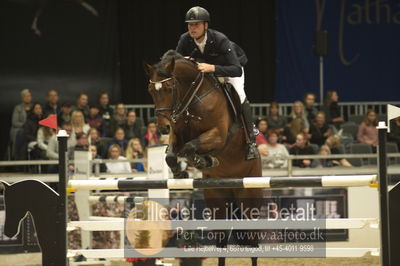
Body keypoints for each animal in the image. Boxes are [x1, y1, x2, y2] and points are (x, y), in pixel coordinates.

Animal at [145, 50, 264, 266]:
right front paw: (181, 171)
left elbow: (190, 147)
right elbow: (172, 155)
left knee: (253, 242)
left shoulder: (218, 135)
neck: (192, 99)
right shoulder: (177, 134)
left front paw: (204, 160)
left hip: (249, 198)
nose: (163, 128)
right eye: (151, 90)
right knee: (222, 241)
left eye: (168, 88)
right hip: (218, 200)